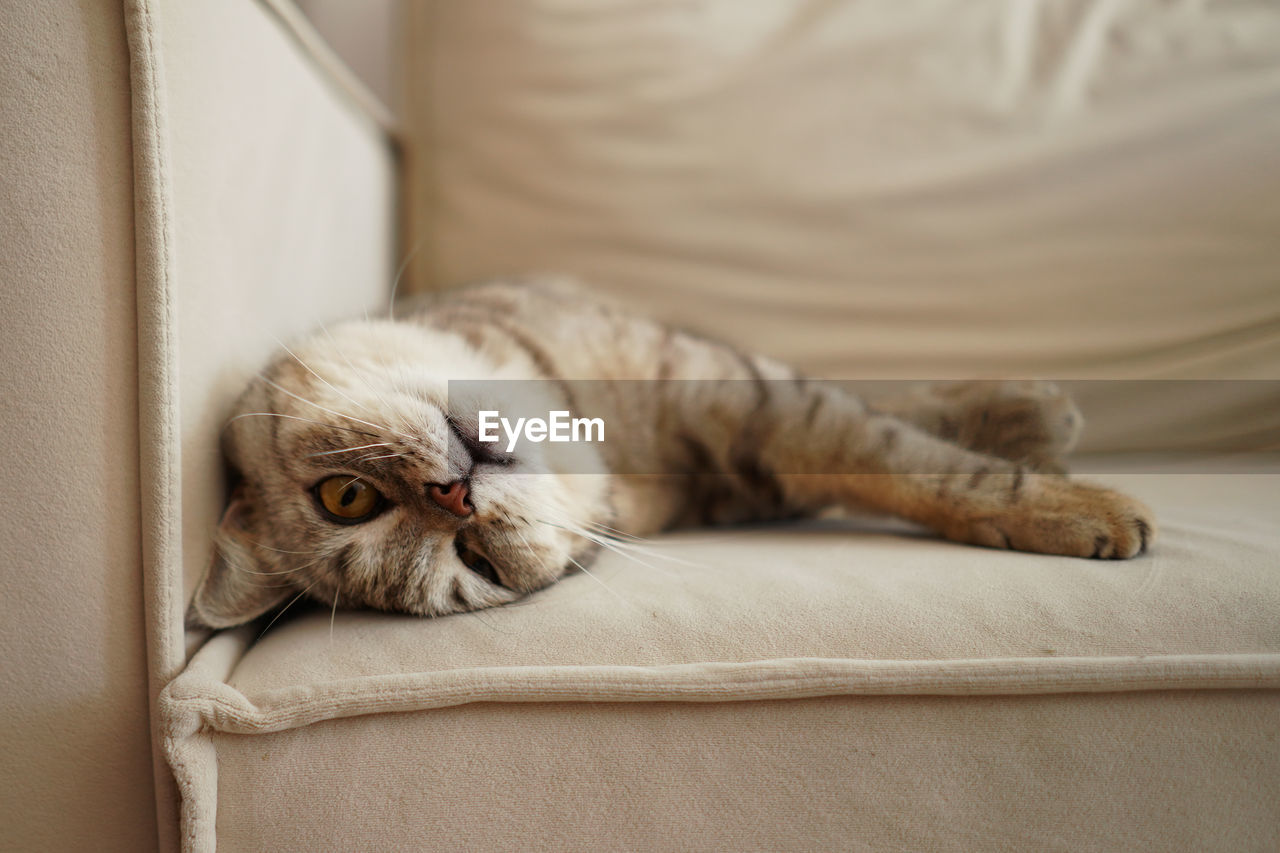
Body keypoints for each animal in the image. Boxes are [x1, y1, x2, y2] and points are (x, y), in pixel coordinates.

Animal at [189, 275, 1162, 627]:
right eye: (478, 564)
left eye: (342, 496)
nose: (455, 498)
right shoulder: (757, 464)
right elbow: (890, 456)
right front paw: (1069, 505)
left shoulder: (735, 385)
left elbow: (891, 445)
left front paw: (1063, 494)